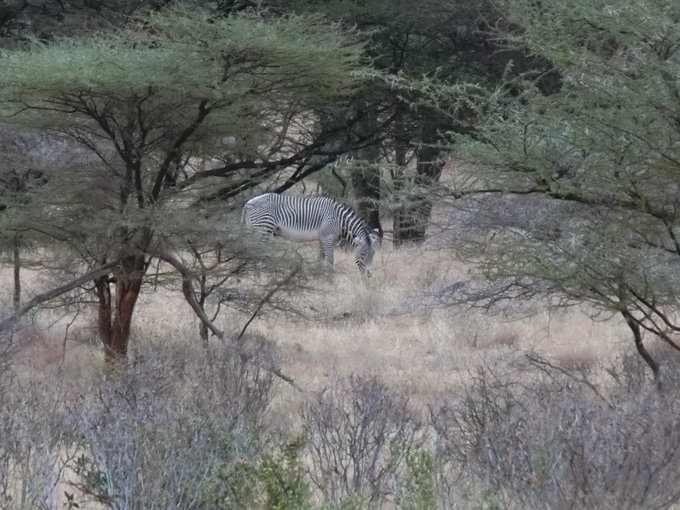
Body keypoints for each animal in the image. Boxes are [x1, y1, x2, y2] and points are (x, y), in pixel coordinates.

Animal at [242, 193, 380, 276]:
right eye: (363, 254)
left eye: (373, 254)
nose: (369, 275)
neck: (340, 220)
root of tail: (249, 203)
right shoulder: (328, 237)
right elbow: (330, 260)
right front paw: (329, 279)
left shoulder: (324, 239)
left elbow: (323, 258)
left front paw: (320, 275)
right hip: (264, 228)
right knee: (257, 251)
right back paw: (259, 273)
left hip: (254, 229)